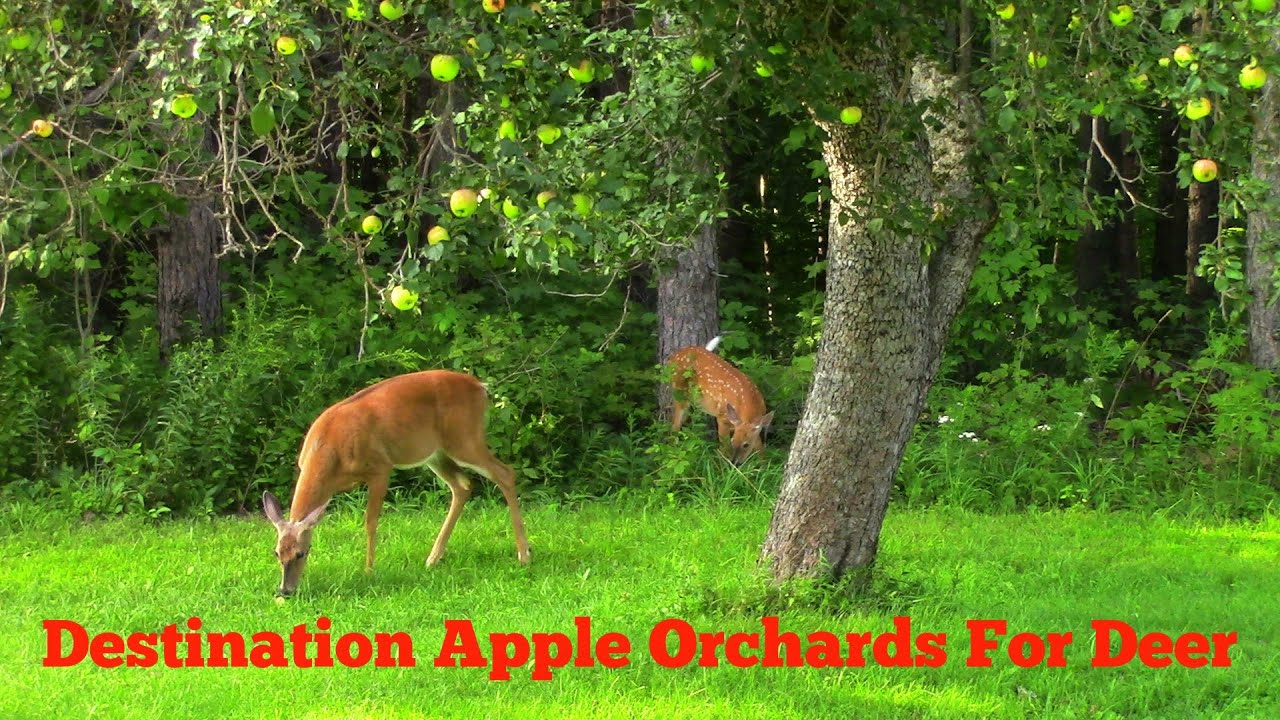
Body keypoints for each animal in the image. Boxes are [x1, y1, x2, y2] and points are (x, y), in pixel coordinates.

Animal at [261, 370, 530, 597]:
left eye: (301, 553)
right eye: (277, 552)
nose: (285, 591)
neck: (329, 450)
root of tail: (480, 387)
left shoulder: (380, 468)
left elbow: (370, 522)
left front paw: (369, 571)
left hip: (465, 438)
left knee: (505, 473)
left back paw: (524, 554)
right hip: (436, 453)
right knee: (463, 485)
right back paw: (433, 558)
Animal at [668, 336, 774, 464]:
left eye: (746, 445)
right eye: (733, 441)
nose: (735, 462)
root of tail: (674, 356)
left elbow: (760, 448)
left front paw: (765, 465)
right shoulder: (722, 417)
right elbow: (724, 448)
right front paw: (722, 467)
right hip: (679, 390)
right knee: (675, 424)